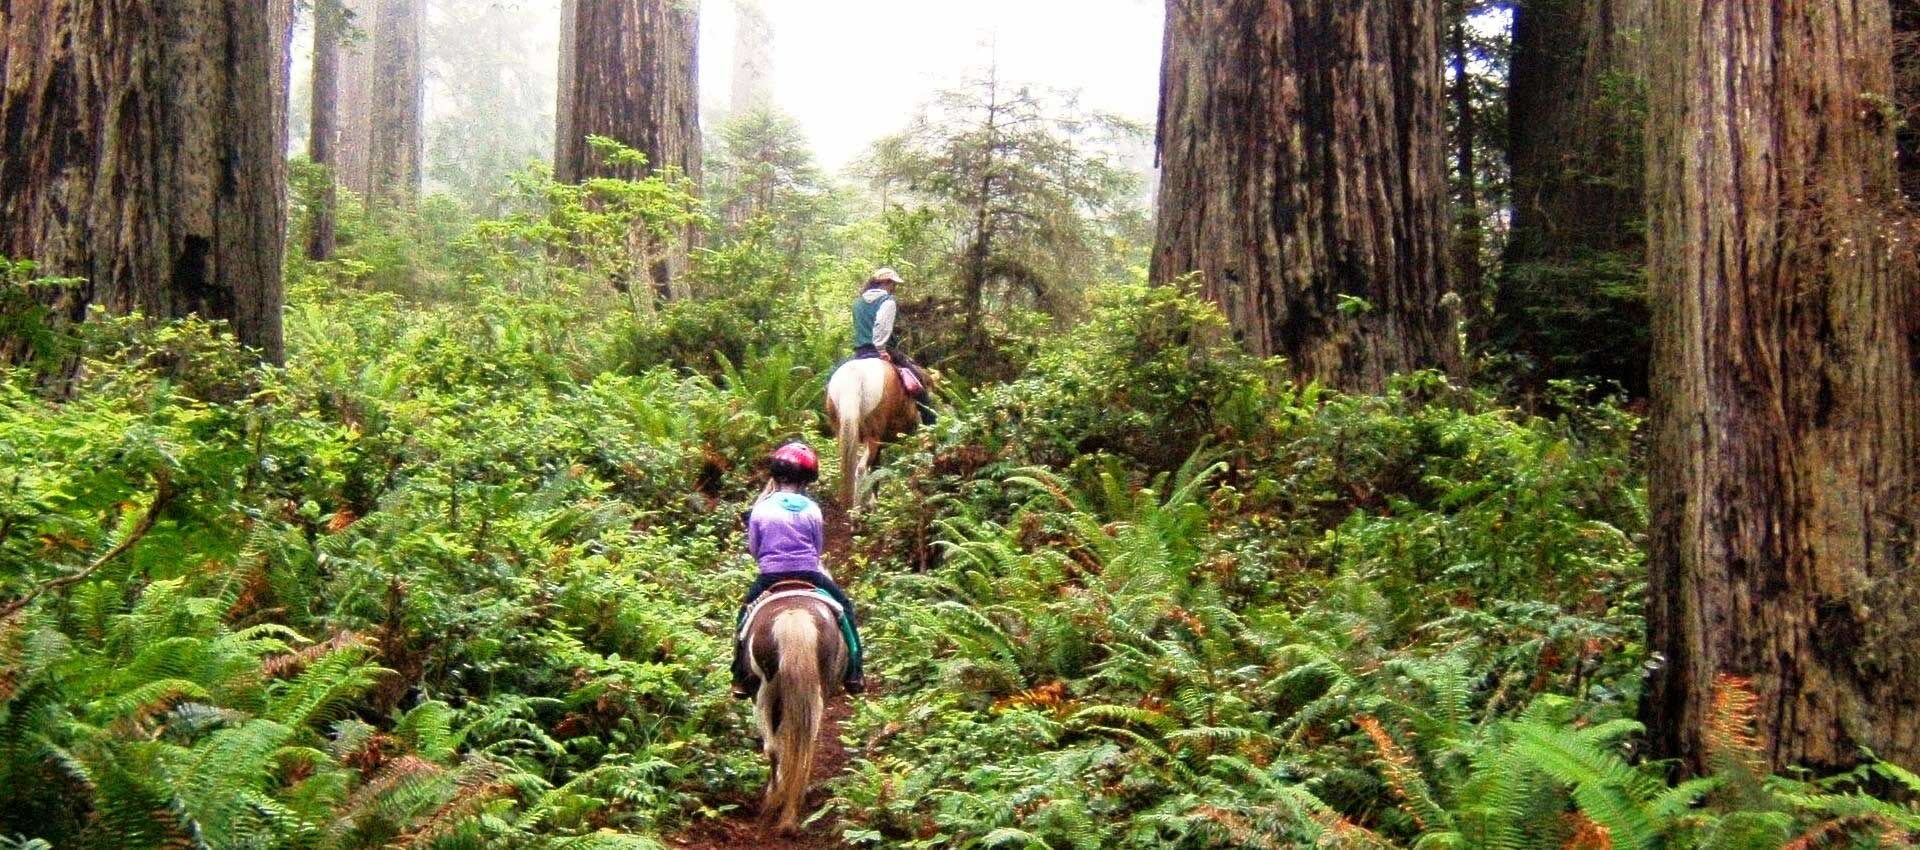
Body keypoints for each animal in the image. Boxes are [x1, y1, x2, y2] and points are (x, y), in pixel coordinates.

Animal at [741, 583, 848, 836]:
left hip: (764, 691)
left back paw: (777, 798)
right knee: (804, 742)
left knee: (773, 746)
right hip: (814, 690)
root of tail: (794, 617)